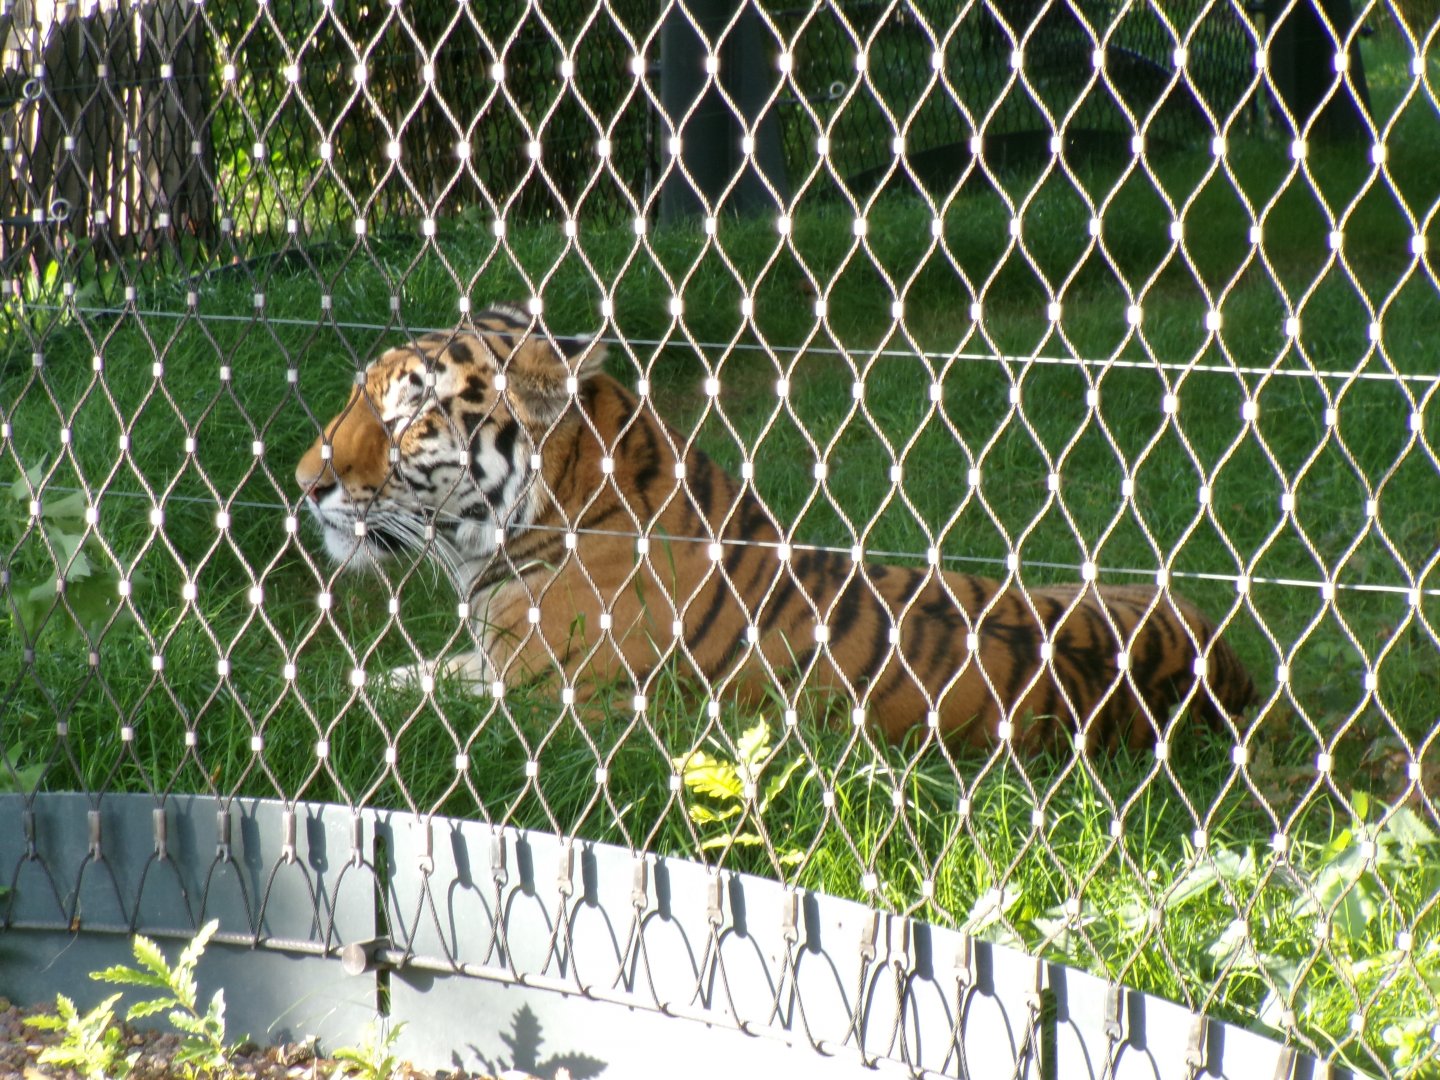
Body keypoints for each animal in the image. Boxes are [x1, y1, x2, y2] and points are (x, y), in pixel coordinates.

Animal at [294, 305, 1255, 753]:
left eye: (409, 414)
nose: (306, 483)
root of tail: (1236, 673)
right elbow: (396, 672)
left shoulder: (547, 702)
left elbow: (396, 694)